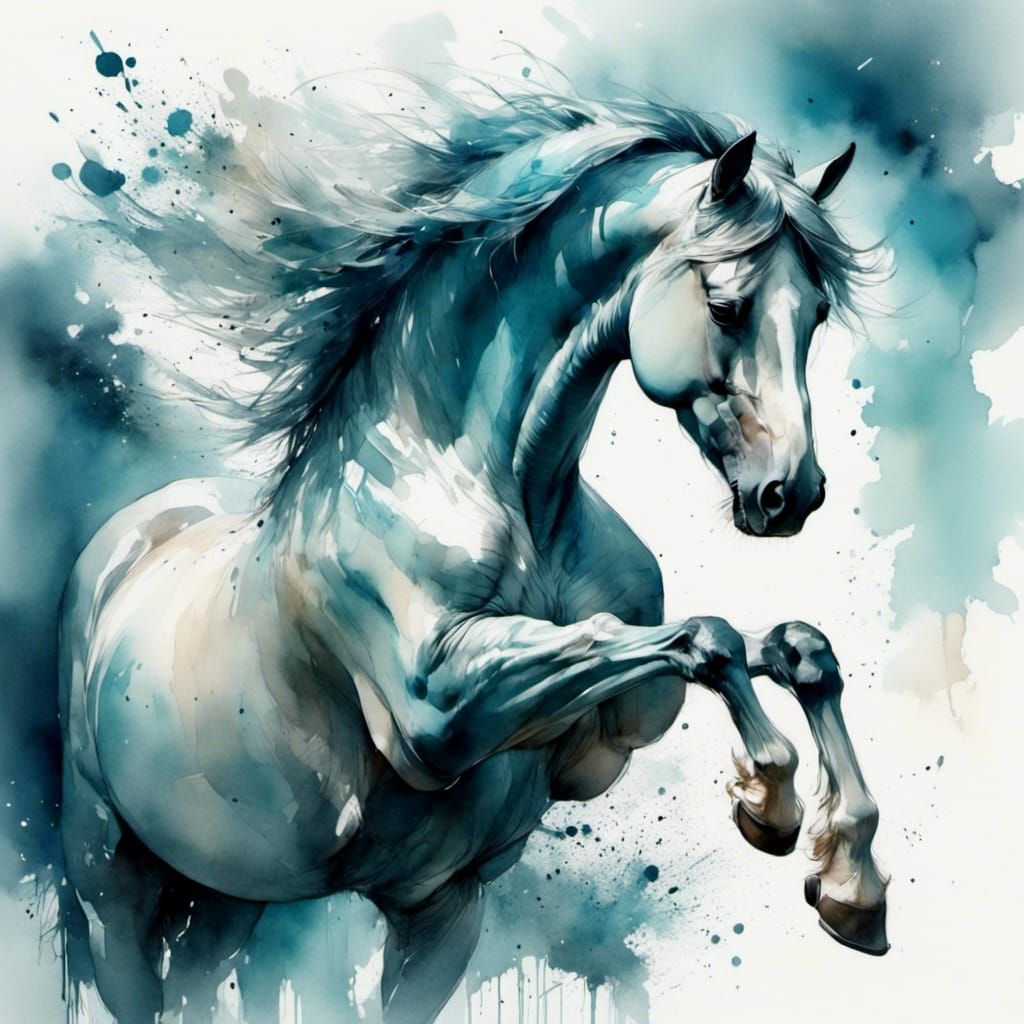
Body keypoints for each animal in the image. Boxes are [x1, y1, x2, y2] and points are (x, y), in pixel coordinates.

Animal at [59, 81, 888, 1024]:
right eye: (725, 306)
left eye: (816, 315)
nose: (792, 493)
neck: (489, 487)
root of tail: (126, 540)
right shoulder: (440, 711)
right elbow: (698, 639)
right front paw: (773, 806)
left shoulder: (460, 886)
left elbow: (781, 647)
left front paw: (849, 883)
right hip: (111, 883)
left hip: (232, 888)